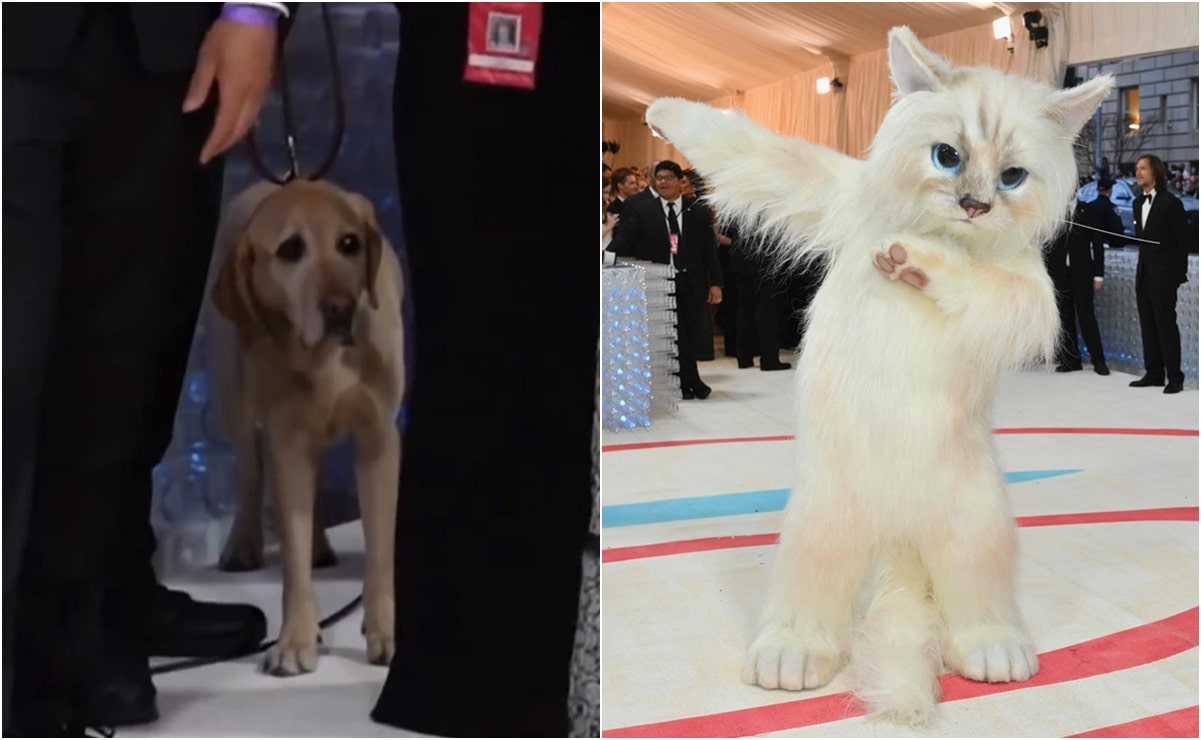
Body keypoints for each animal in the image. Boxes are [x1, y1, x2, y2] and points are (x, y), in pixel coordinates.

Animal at [199, 180, 401, 677]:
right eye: (291, 249)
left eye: (349, 243)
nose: (341, 309)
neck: (324, 360)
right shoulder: (286, 439)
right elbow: (290, 555)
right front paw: (295, 638)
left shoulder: (378, 439)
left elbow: (380, 552)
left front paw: (385, 632)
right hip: (234, 393)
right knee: (249, 466)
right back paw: (244, 542)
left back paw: (318, 544)